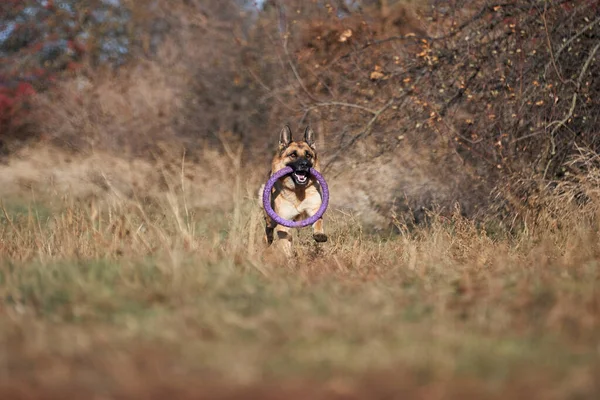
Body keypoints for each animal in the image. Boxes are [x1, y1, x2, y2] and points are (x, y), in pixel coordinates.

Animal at [258, 125, 328, 256]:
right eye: (293, 155)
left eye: (308, 155)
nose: (304, 164)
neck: (298, 190)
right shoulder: (283, 222)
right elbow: (285, 241)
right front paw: (288, 257)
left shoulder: (315, 209)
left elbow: (318, 222)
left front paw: (319, 234)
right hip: (270, 220)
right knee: (268, 232)